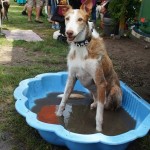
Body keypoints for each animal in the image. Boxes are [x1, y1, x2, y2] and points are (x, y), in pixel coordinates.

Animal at [56, 0, 122, 131]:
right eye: (67, 18)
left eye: (80, 19)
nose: (69, 33)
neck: (81, 46)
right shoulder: (71, 78)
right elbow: (64, 99)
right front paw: (58, 116)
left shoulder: (101, 82)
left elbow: (99, 115)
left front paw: (98, 131)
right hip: (90, 88)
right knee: (97, 101)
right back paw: (94, 104)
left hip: (114, 91)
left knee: (108, 107)